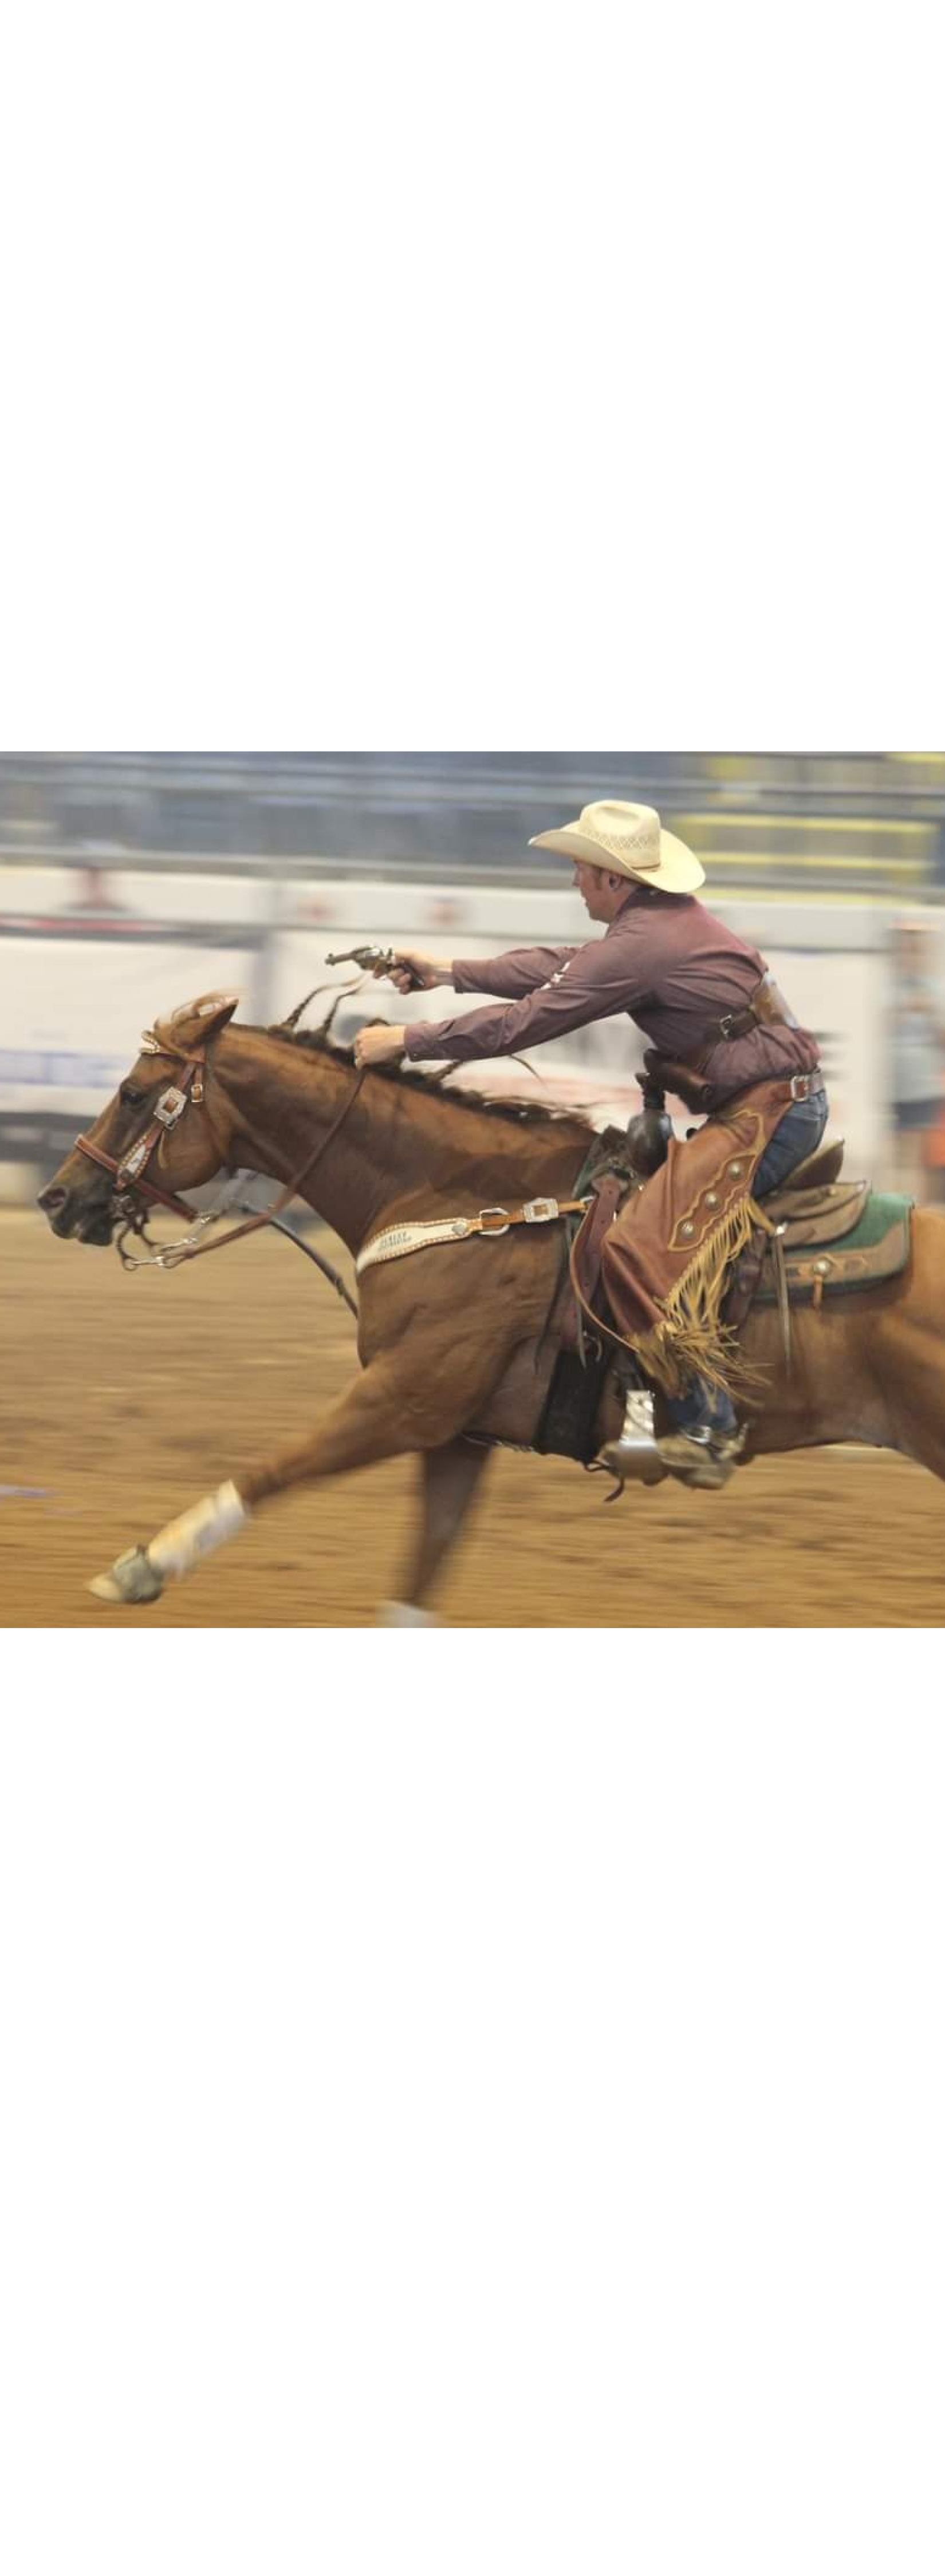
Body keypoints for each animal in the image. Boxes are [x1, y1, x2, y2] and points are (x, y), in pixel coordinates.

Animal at [35, 989, 945, 1618]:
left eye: (131, 1093)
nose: (56, 1197)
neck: (460, 1197)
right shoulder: (458, 1438)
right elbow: (415, 1588)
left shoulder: (403, 1400)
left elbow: (272, 1468)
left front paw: (143, 1564)